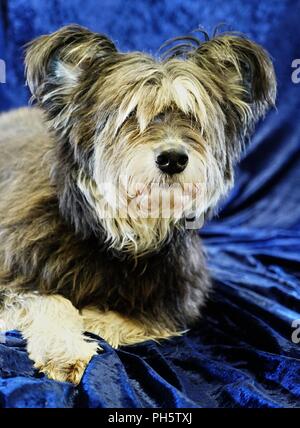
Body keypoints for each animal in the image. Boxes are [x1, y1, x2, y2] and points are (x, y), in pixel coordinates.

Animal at [0, 25, 276, 382]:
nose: (173, 158)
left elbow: (132, 318)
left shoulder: (179, 295)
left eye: (193, 117)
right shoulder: (13, 274)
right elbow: (50, 302)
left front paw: (95, 319)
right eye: (130, 115)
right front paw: (66, 350)